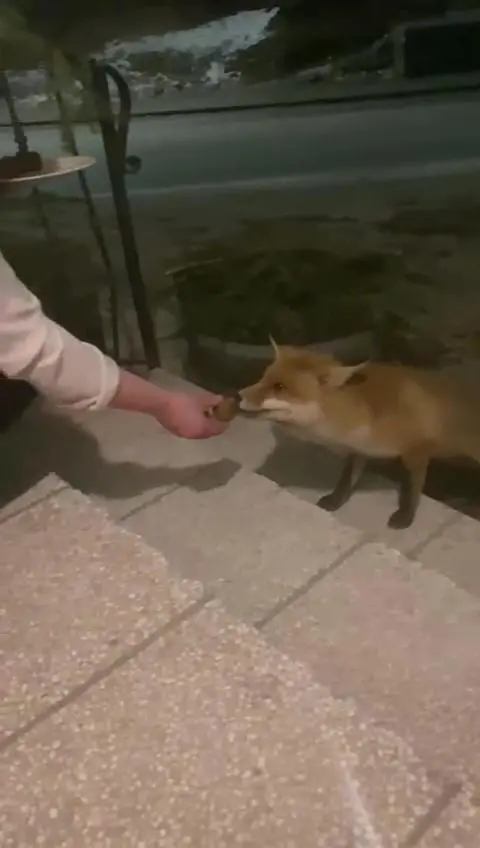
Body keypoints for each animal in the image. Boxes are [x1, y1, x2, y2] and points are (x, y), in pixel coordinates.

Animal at [212, 341, 480, 529]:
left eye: (280, 387)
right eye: (263, 378)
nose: (235, 396)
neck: (368, 414)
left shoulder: (417, 451)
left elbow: (412, 490)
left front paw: (405, 517)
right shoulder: (359, 450)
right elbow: (346, 480)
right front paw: (335, 500)